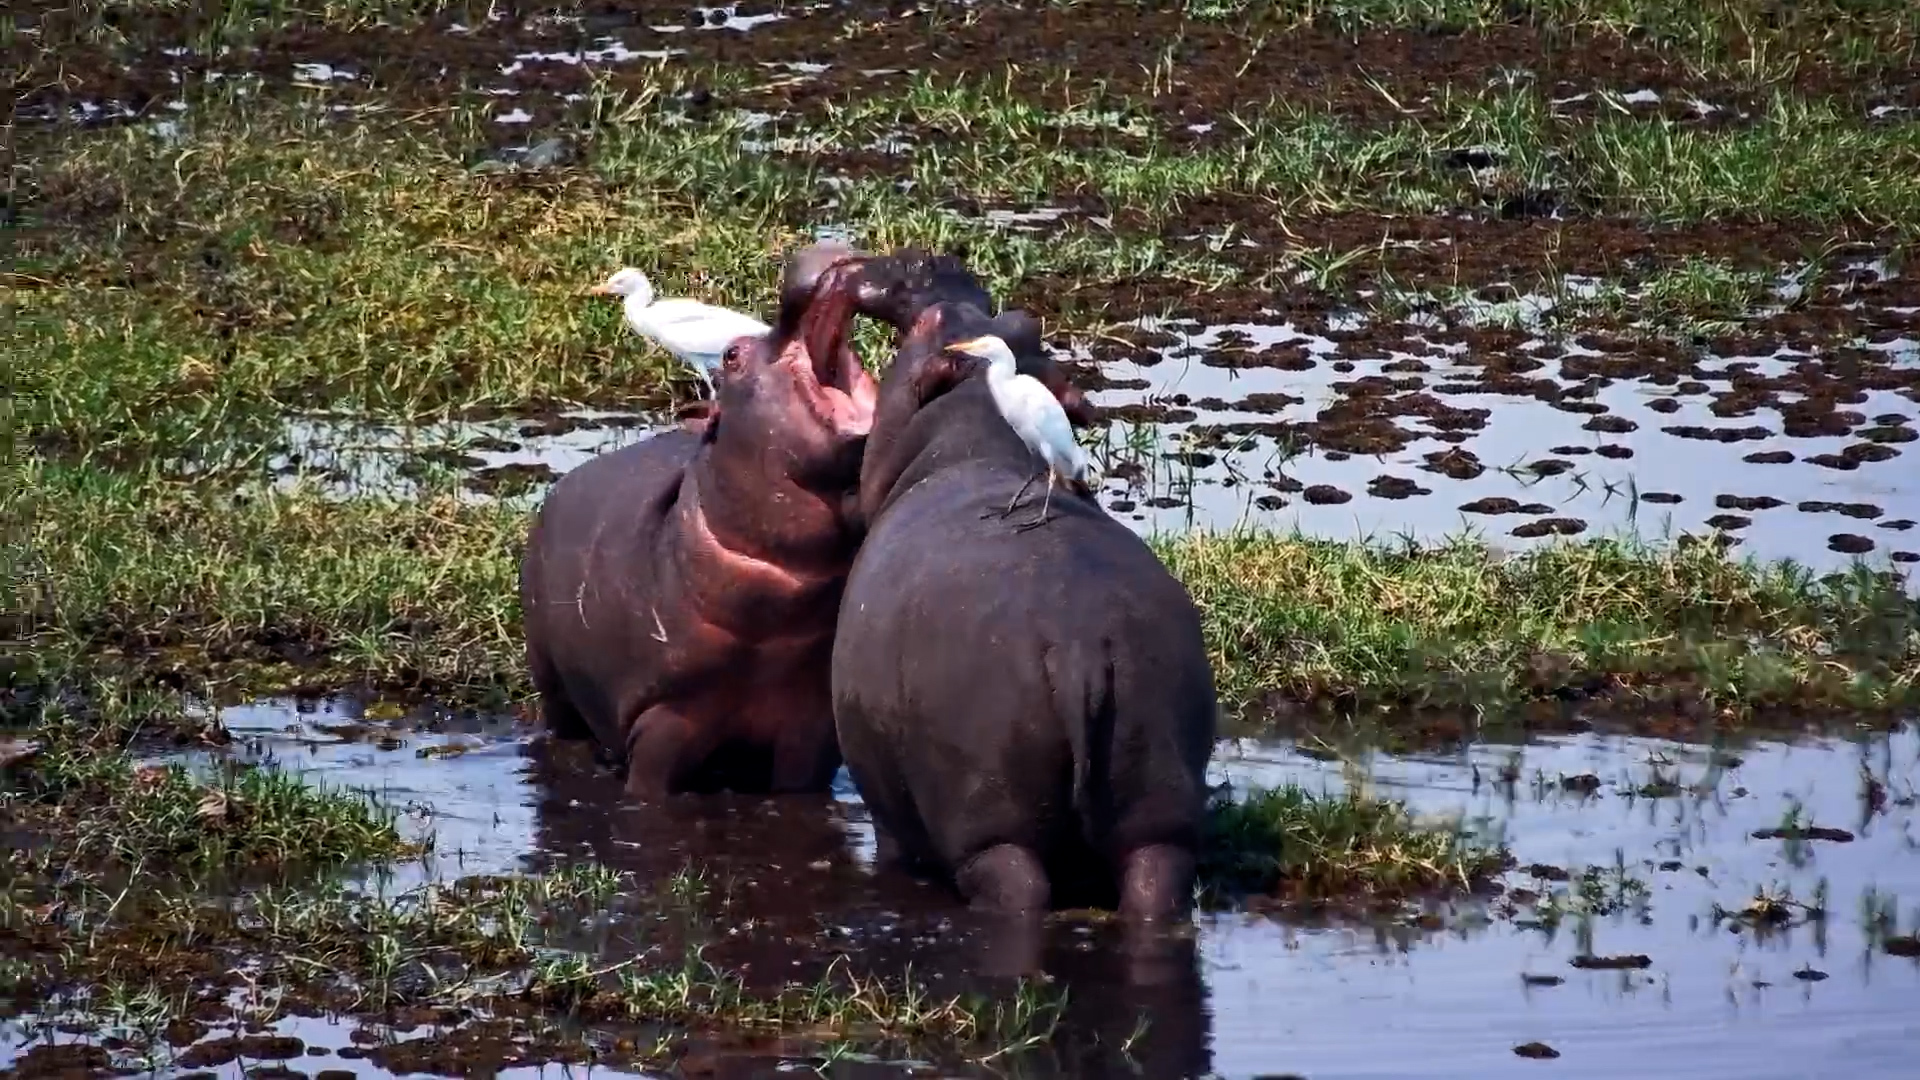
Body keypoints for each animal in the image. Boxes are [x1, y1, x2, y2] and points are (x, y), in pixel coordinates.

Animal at [830, 289, 1218, 921]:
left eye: (921, 328)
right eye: (1021, 323)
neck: (974, 428)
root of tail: (1078, 647)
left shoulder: (889, 816)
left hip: (994, 832)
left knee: (1015, 891)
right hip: (1160, 807)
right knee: (1155, 877)